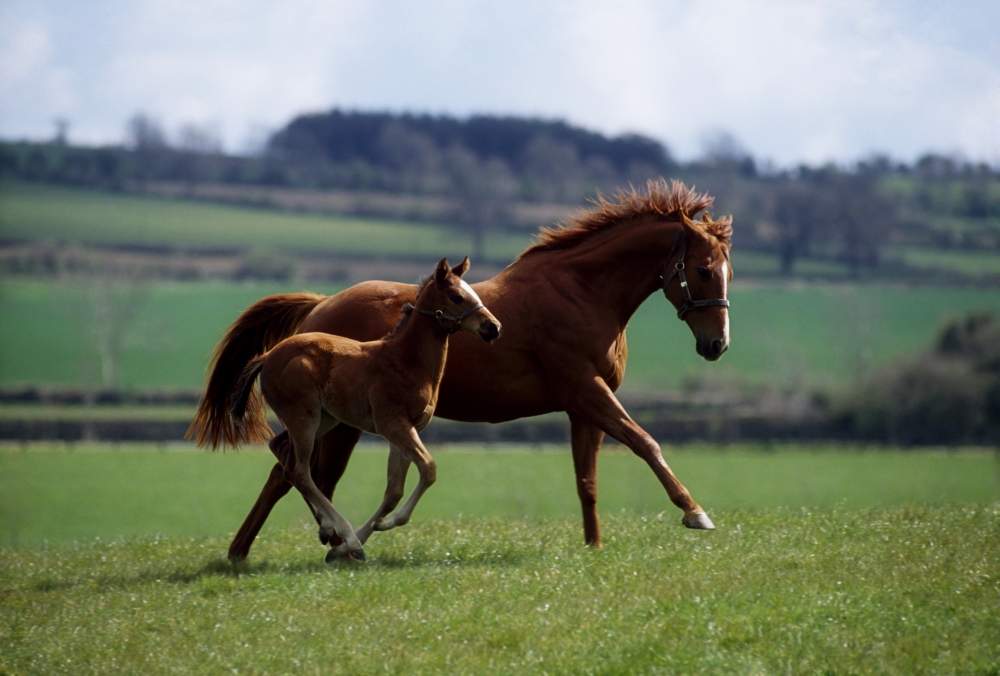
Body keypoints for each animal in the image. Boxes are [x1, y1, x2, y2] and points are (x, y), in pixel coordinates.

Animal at [226, 257, 501, 561]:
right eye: (456, 296)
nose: (493, 327)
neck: (405, 360)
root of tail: (267, 356)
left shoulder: (408, 428)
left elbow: (394, 490)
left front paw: (376, 527)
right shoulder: (392, 424)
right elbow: (428, 468)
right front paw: (361, 538)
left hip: (324, 419)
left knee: (281, 451)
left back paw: (328, 528)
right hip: (304, 418)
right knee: (300, 472)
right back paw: (347, 536)